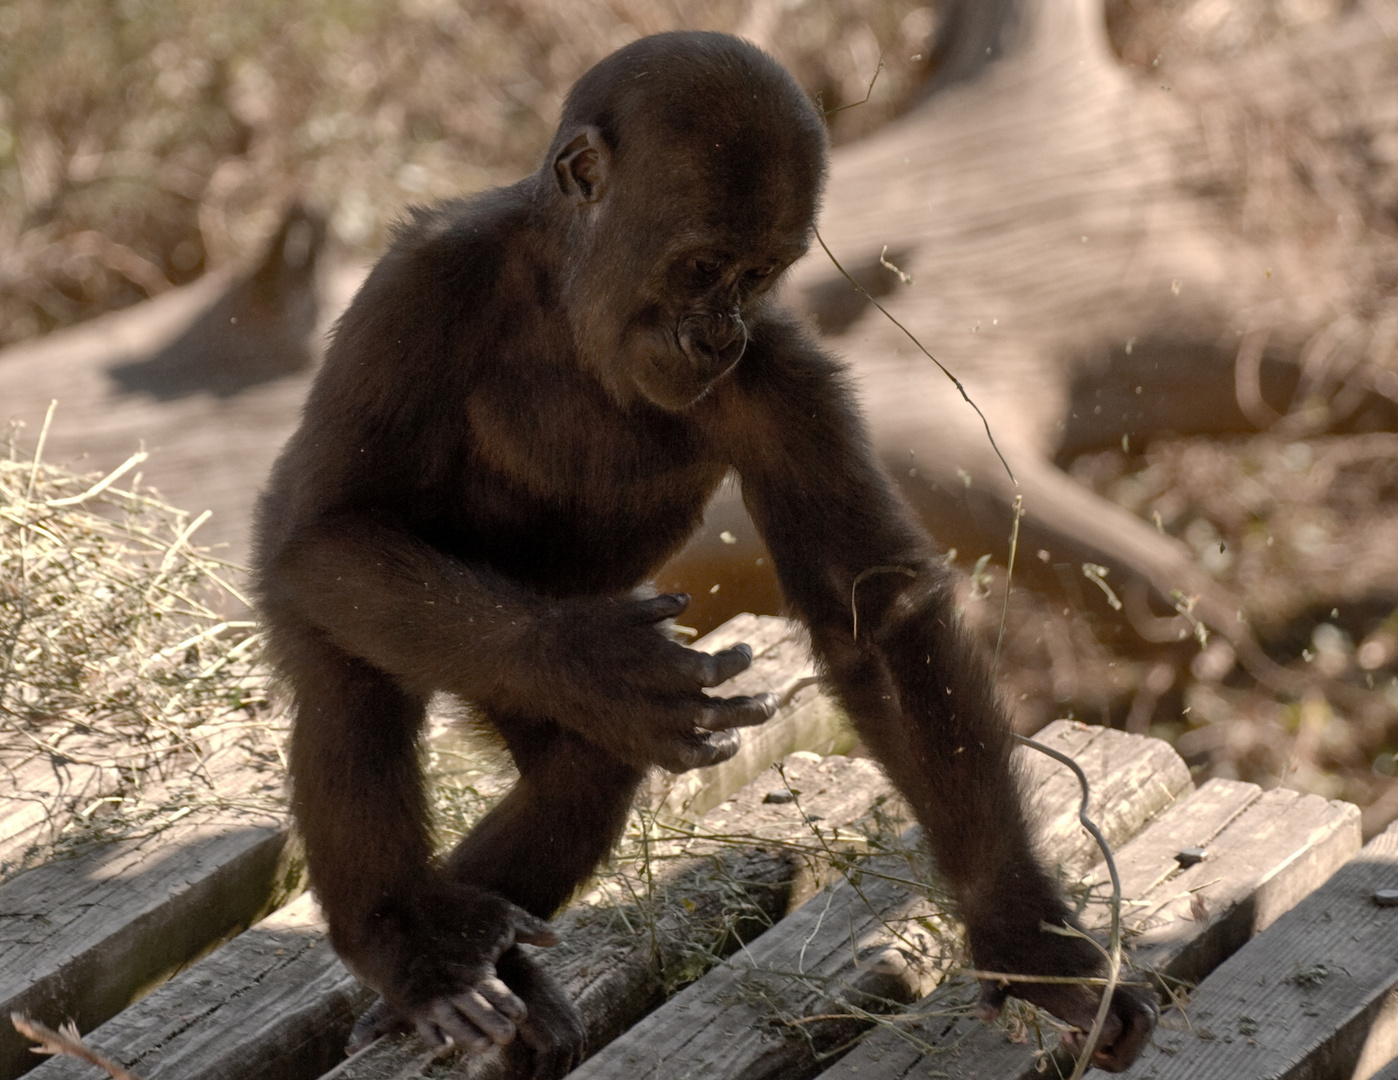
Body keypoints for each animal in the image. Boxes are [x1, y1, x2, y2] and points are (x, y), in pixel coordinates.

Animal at [254, 29, 1157, 1073]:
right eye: (698, 267)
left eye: (757, 276)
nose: (714, 336)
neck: (567, 297)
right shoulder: (422, 284)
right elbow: (333, 525)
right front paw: (588, 657)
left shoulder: (786, 381)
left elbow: (875, 619)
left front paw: (1026, 942)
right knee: (345, 662)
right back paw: (410, 945)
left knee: (582, 772)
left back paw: (488, 955)